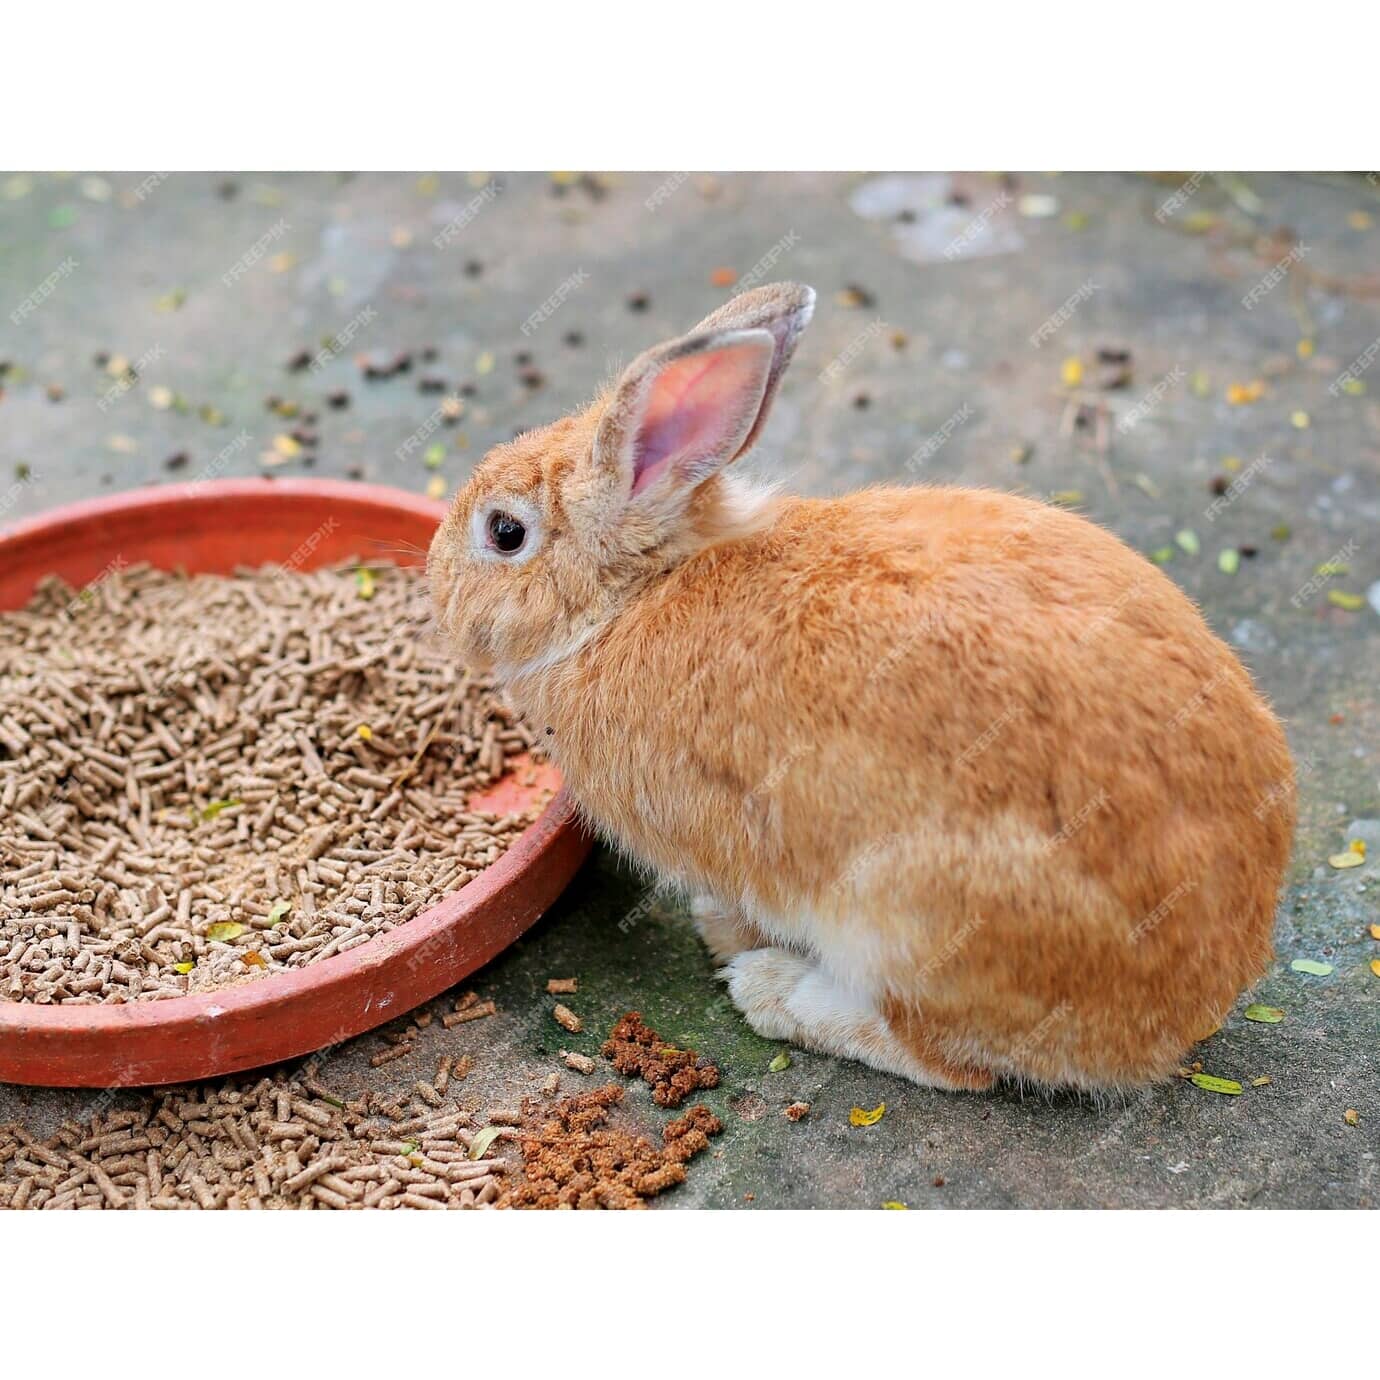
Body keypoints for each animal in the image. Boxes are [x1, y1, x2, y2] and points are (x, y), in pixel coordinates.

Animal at [428, 281, 1296, 1092]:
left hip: (912, 921)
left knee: (949, 1060)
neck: (629, 598)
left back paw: (773, 992)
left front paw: (725, 934)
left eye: (504, 533)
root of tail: (1183, 1015)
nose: (437, 589)